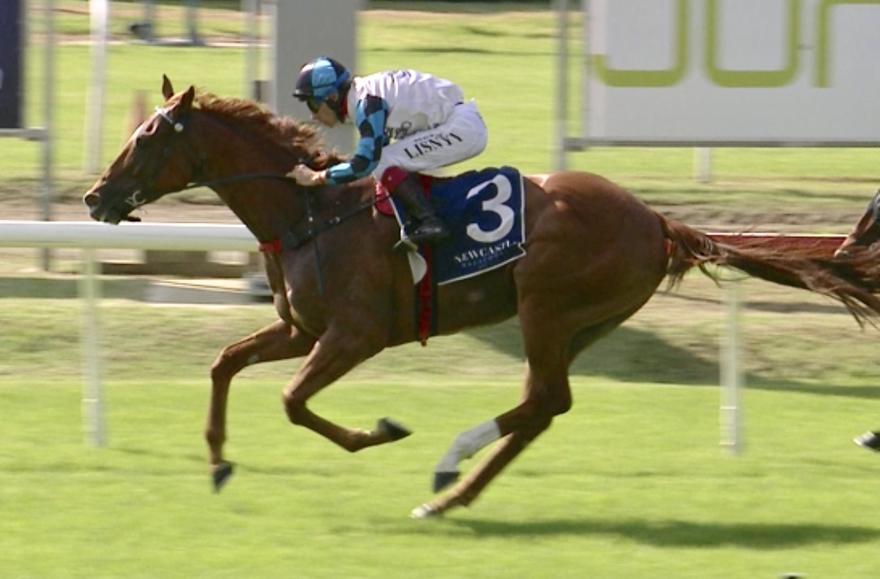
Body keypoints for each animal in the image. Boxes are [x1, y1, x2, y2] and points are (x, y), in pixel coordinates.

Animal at [83, 76, 880, 518]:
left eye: (146, 138)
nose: (94, 196)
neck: (310, 212)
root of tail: (658, 220)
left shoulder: (352, 336)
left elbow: (292, 402)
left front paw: (381, 431)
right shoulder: (302, 330)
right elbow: (223, 362)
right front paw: (218, 461)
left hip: (547, 307)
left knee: (543, 402)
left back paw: (446, 468)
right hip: (579, 322)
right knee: (542, 408)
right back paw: (448, 492)